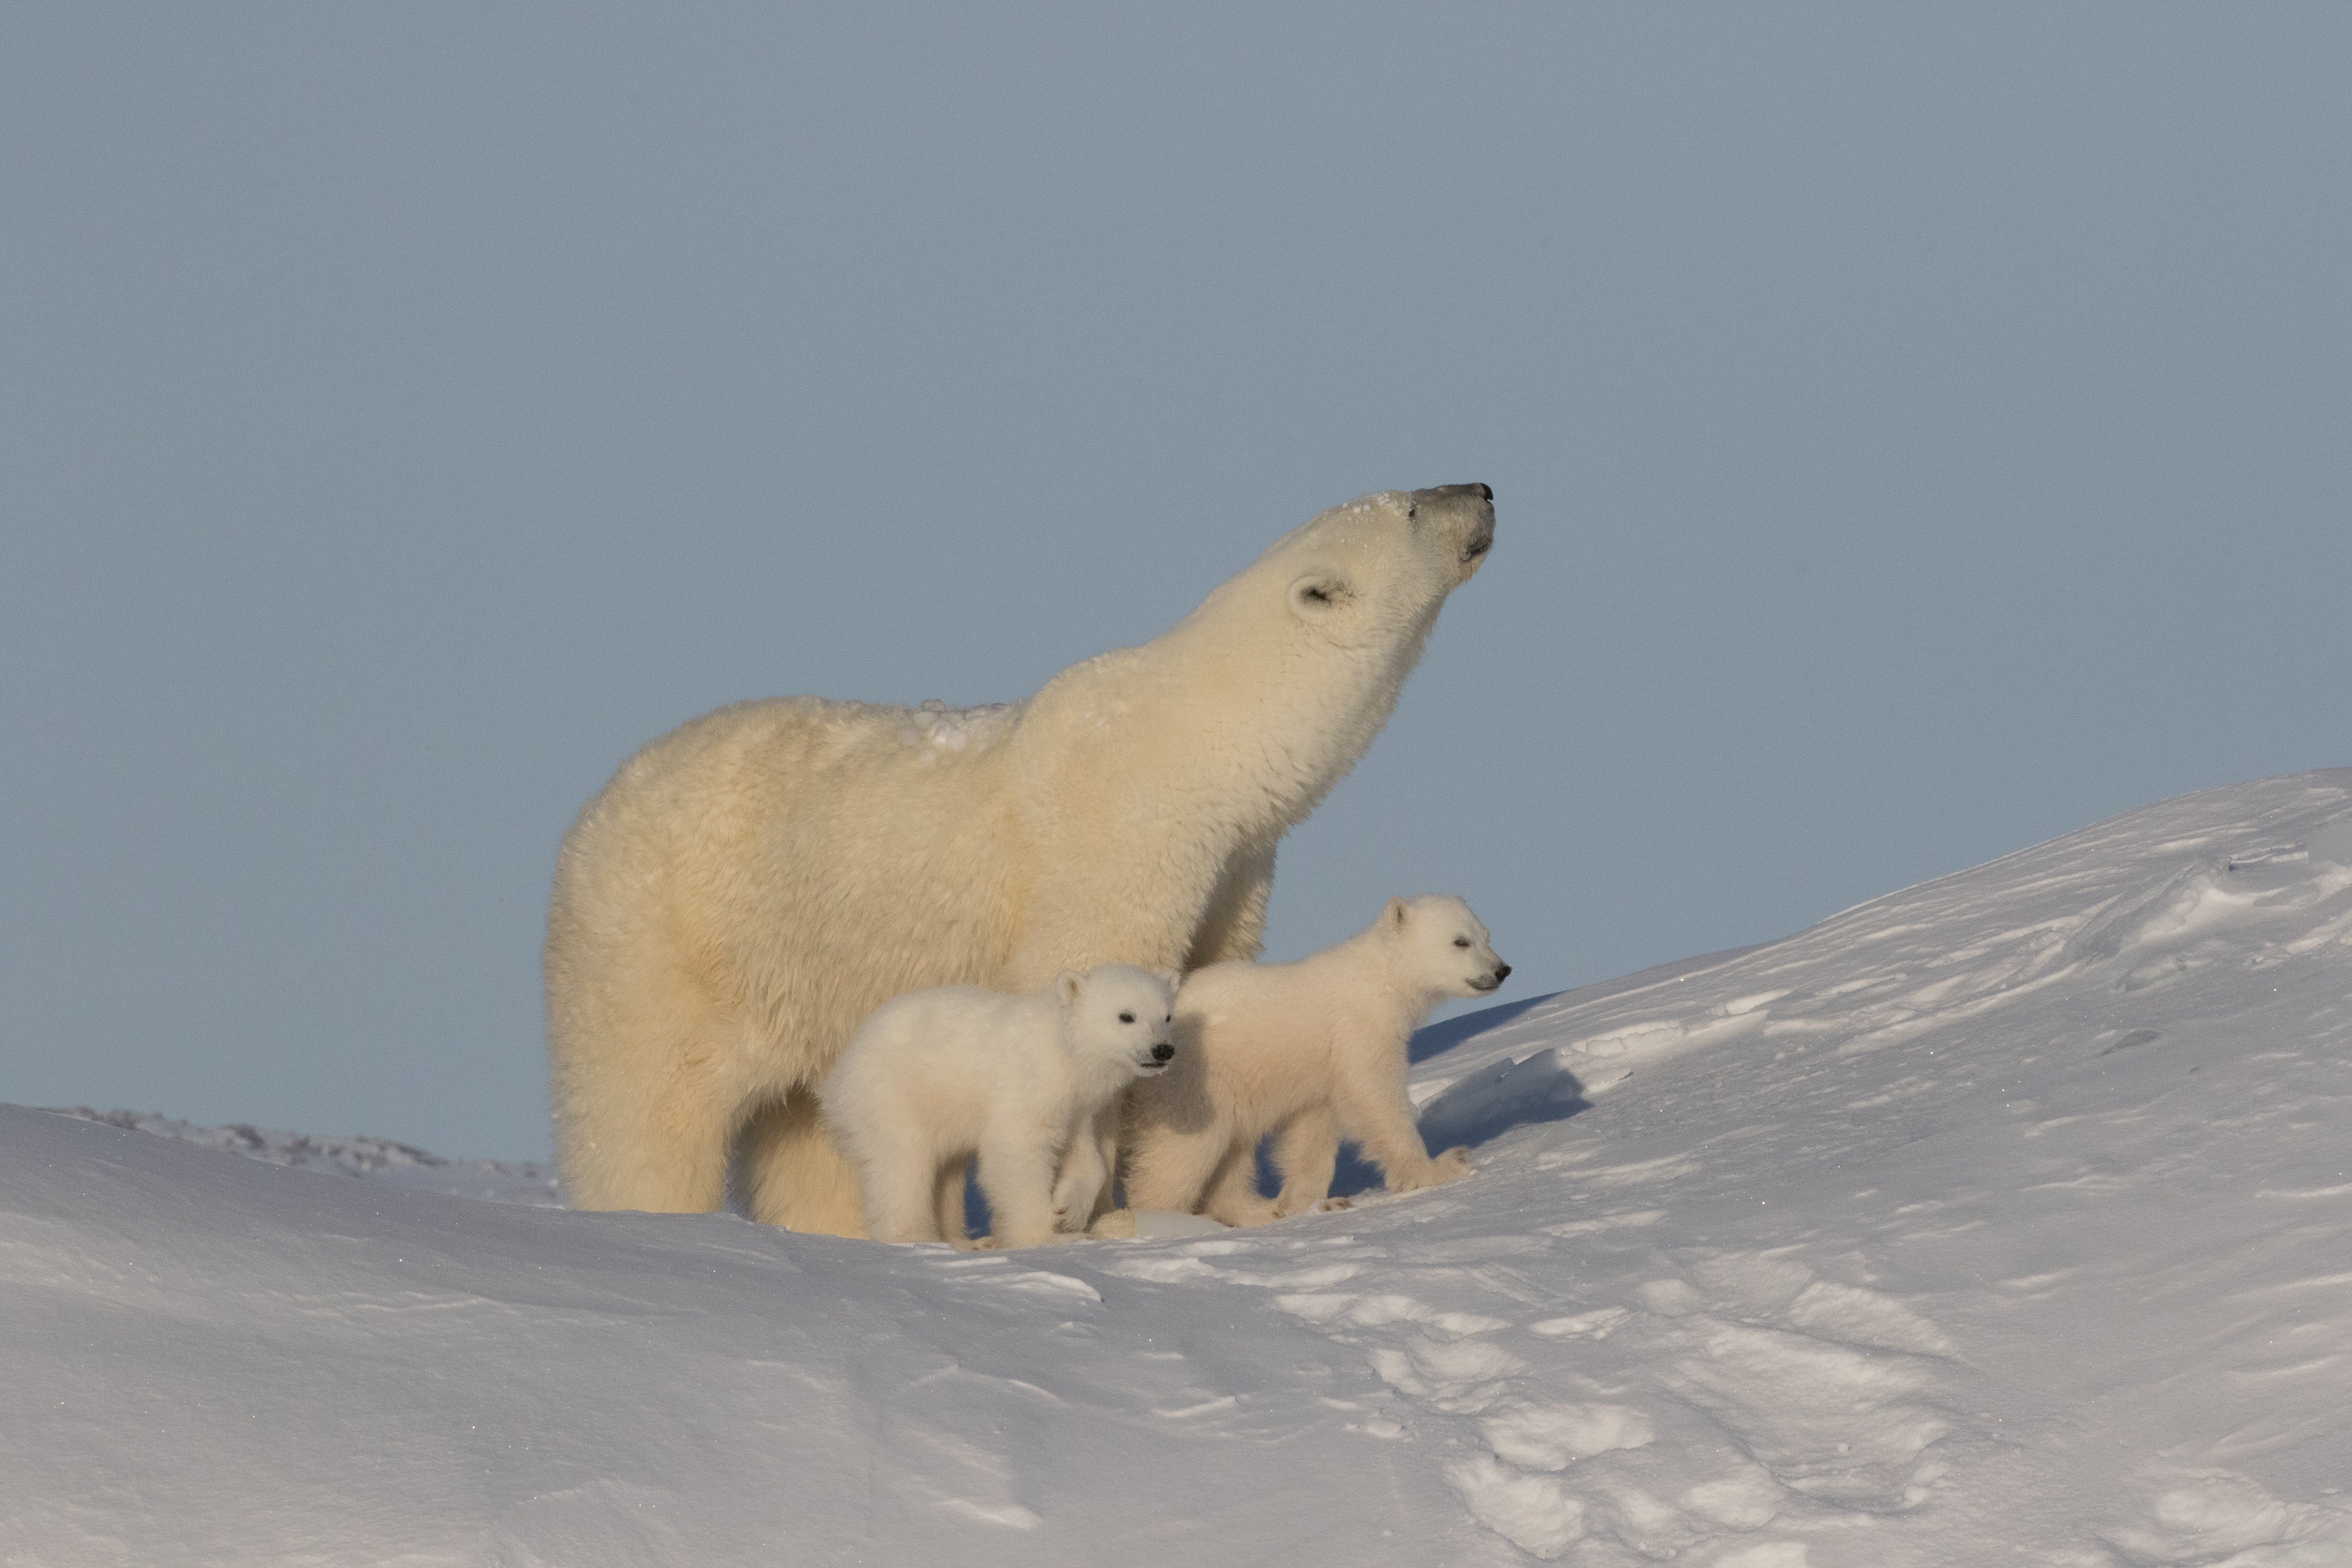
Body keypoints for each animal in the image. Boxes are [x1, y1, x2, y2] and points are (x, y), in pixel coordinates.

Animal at [818, 964, 1176, 1241]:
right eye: (1126, 1016)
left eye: (1168, 1016)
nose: (1163, 1050)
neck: (1065, 1047)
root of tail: (838, 1075)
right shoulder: (1030, 1083)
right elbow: (1016, 1150)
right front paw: (1046, 1238)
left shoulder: (1075, 1106)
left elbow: (1084, 1154)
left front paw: (1067, 1212)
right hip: (892, 1096)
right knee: (902, 1165)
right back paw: (916, 1238)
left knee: (946, 1171)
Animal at [1128, 893, 1514, 1222]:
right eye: (1460, 941)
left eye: (1487, 935)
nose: (1502, 970)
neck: (1380, 979)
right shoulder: (1357, 1029)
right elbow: (1375, 1095)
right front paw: (1441, 1167)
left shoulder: (1321, 1064)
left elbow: (1312, 1129)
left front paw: (1315, 1203)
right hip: (1195, 1081)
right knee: (1181, 1154)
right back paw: (1164, 1220)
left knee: (1232, 1151)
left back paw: (1257, 1210)